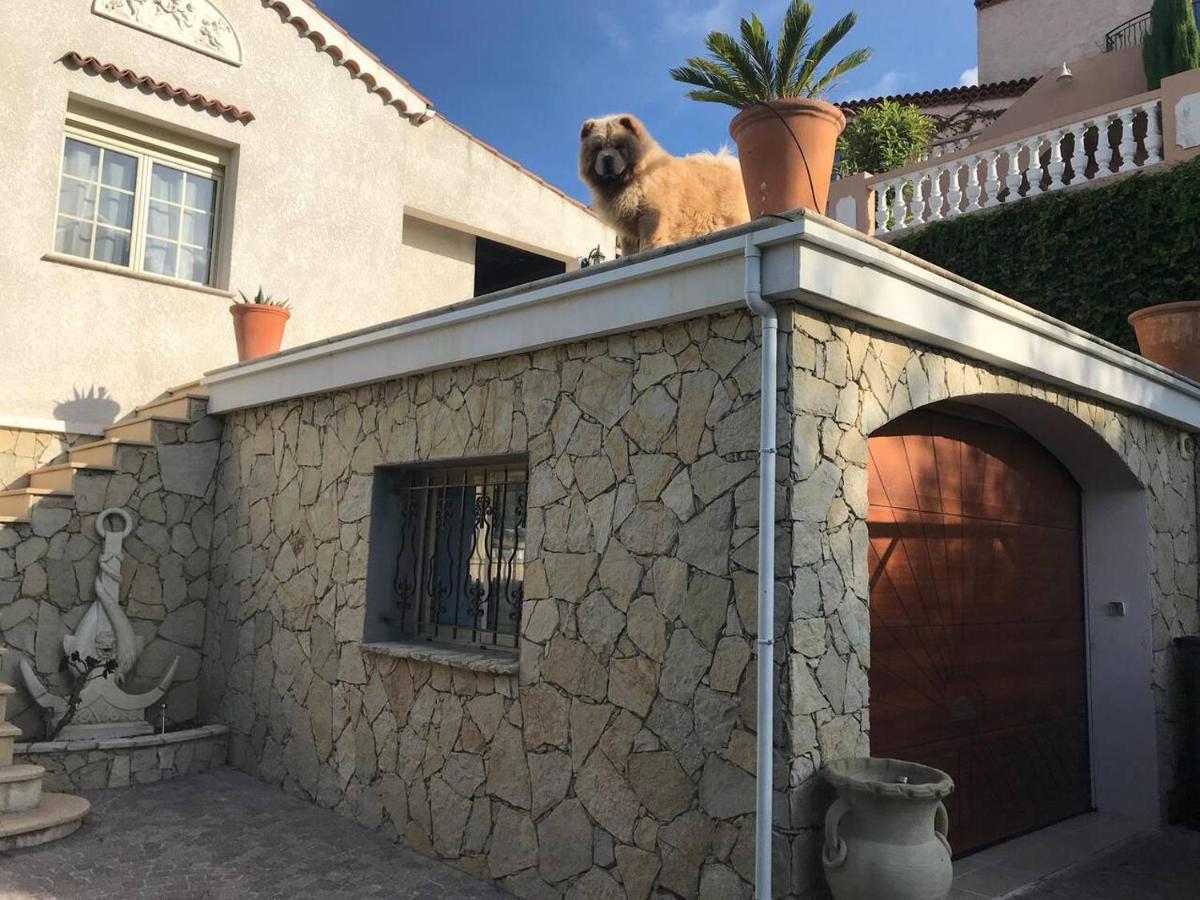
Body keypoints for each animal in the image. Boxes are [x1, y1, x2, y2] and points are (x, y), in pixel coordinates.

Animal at [580, 114, 748, 254]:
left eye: (619, 146)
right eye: (598, 148)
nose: (607, 158)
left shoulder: (651, 217)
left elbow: (651, 240)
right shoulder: (628, 230)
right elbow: (629, 251)